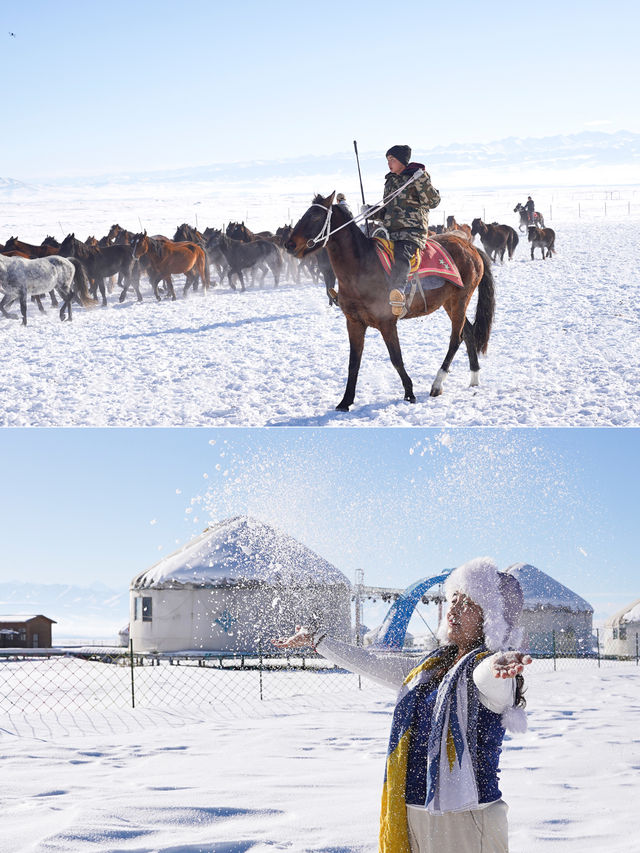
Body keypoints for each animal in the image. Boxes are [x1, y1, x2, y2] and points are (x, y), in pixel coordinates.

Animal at [284, 195, 496, 408]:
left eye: (315, 216)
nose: (289, 245)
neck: (361, 267)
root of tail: (469, 247)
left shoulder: (387, 323)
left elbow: (396, 359)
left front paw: (409, 393)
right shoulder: (354, 323)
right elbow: (353, 362)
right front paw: (346, 401)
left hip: (460, 299)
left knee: (456, 339)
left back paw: (437, 383)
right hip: (449, 302)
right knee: (467, 333)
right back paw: (474, 377)